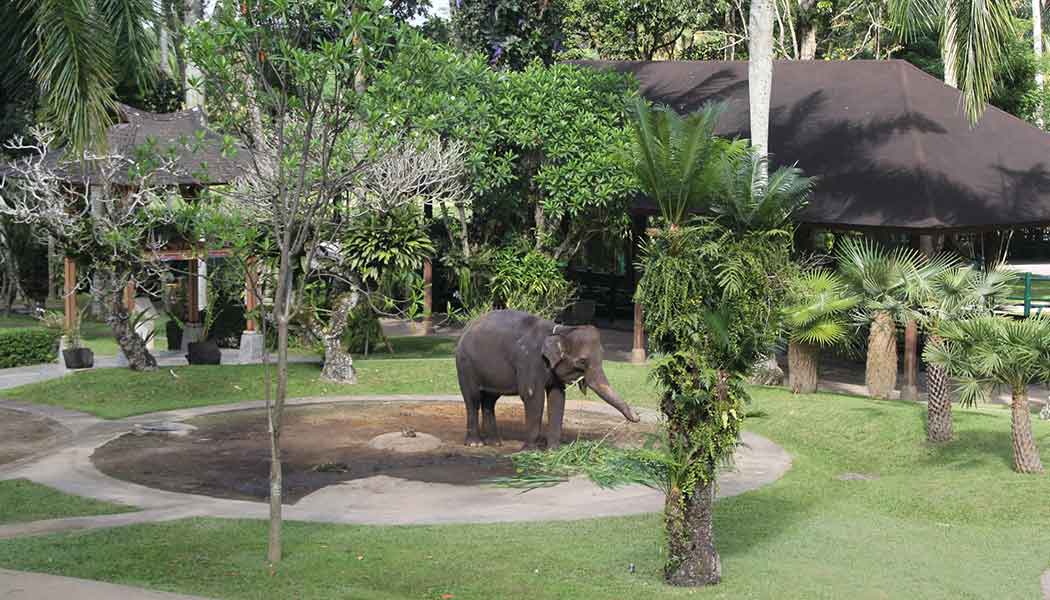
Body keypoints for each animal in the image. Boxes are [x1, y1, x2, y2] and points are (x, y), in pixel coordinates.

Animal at [453, 308, 638, 449]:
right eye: (582, 361)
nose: (637, 417)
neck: (560, 330)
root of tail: (466, 329)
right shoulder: (529, 360)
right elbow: (533, 396)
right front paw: (530, 451)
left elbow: (557, 397)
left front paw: (554, 451)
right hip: (465, 365)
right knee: (473, 399)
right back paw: (475, 444)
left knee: (490, 400)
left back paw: (495, 443)